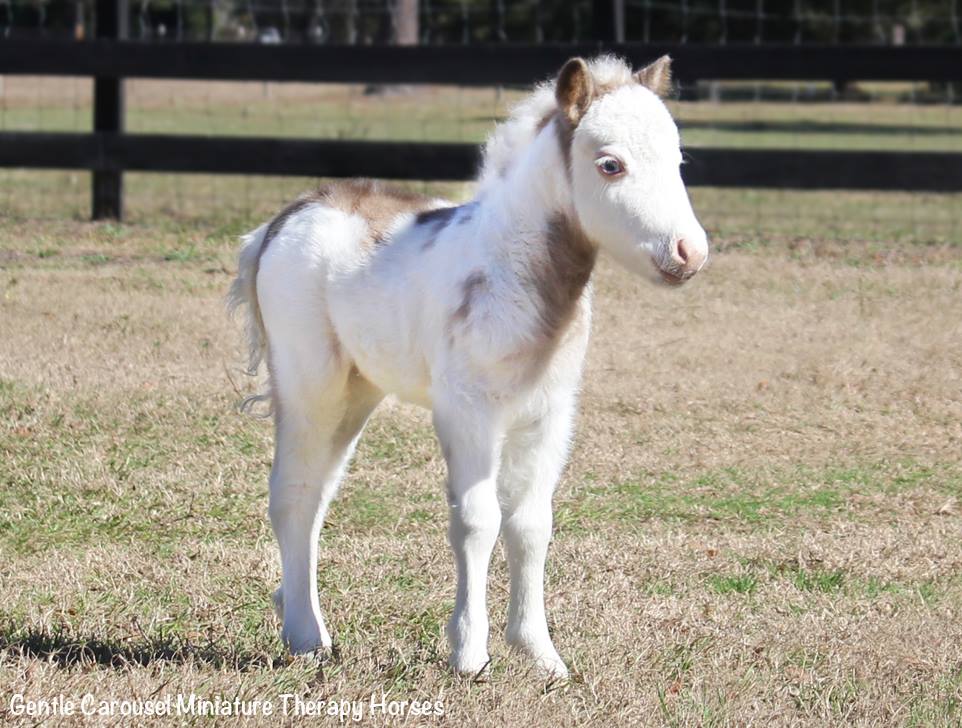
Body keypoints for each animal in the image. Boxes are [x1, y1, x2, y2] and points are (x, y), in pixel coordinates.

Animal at [227, 54, 704, 680]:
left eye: (678, 160)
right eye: (610, 164)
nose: (690, 253)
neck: (512, 271)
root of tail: (284, 219)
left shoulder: (548, 417)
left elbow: (531, 524)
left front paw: (540, 653)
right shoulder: (469, 413)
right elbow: (479, 520)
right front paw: (470, 654)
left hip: (357, 393)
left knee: (318, 497)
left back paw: (298, 613)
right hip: (311, 386)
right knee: (294, 492)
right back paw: (305, 636)